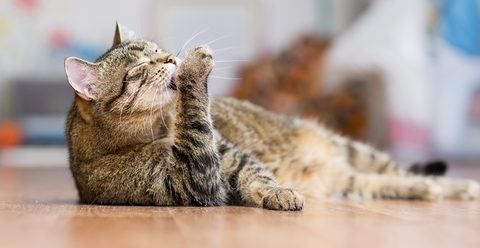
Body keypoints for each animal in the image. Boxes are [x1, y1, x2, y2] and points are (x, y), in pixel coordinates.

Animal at [64, 22, 480, 210]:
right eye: (140, 67)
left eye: (158, 49)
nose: (170, 58)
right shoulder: (193, 178)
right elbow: (196, 123)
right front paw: (194, 69)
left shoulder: (229, 153)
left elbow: (257, 173)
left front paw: (278, 191)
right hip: (351, 180)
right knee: (384, 181)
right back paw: (429, 189)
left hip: (355, 151)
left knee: (400, 172)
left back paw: (457, 187)